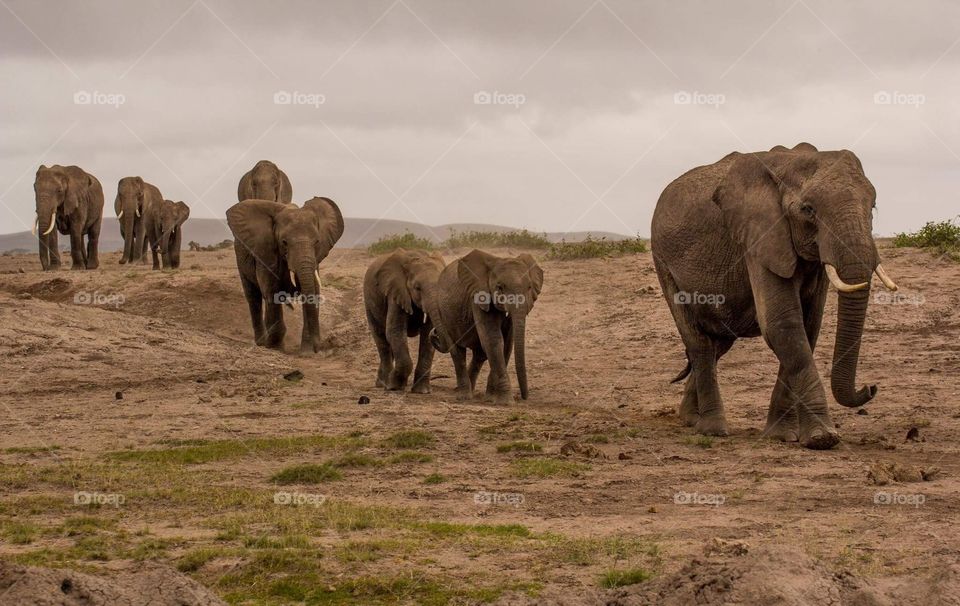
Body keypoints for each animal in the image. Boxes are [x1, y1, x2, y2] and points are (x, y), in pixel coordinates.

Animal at [226, 197, 344, 354]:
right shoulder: (265, 250)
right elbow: (271, 288)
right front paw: (275, 347)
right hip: (240, 257)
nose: (318, 347)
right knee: (253, 296)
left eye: (317, 242)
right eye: (284, 242)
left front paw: (306, 352)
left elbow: (312, 288)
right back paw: (262, 342)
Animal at [363, 249, 446, 393]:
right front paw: (394, 387)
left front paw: (422, 391)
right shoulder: (396, 292)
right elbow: (395, 331)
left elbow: (426, 337)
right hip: (369, 302)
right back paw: (384, 384)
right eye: (417, 288)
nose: (436, 333)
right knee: (381, 339)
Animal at [430, 250, 543, 403]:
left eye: (529, 287)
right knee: (457, 352)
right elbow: (494, 340)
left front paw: (492, 399)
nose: (524, 397)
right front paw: (506, 402)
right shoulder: (479, 297)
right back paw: (464, 397)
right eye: (500, 287)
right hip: (442, 313)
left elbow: (507, 343)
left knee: (479, 355)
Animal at [650, 143, 900, 450]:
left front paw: (782, 435)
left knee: (718, 343)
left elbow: (808, 328)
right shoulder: (759, 238)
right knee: (700, 343)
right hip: (663, 262)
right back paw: (713, 429)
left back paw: (689, 419)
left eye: (873, 206)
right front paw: (823, 438)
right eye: (808, 210)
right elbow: (783, 325)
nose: (870, 387)